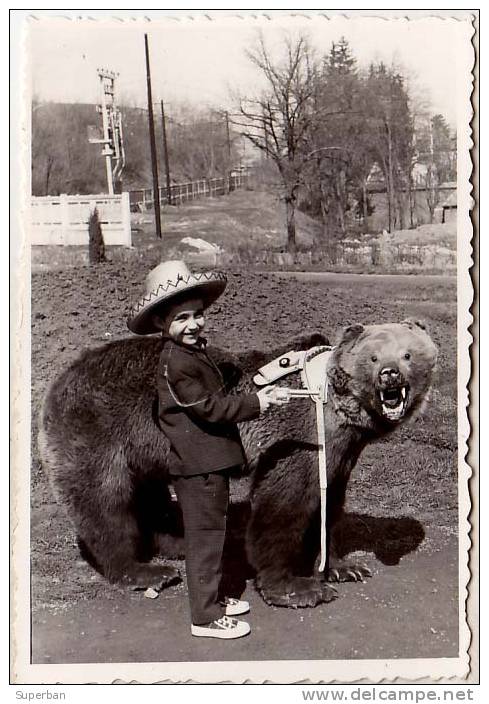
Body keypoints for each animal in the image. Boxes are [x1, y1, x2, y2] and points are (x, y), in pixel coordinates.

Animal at [38, 322, 434, 608]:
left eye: (407, 354)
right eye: (373, 357)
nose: (390, 374)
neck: (336, 410)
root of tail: (61, 377)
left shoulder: (342, 453)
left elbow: (330, 505)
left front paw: (344, 567)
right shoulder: (299, 438)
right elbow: (283, 504)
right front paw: (296, 588)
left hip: (149, 449)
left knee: (151, 494)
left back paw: (175, 542)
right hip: (99, 431)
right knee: (106, 501)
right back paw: (141, 570)